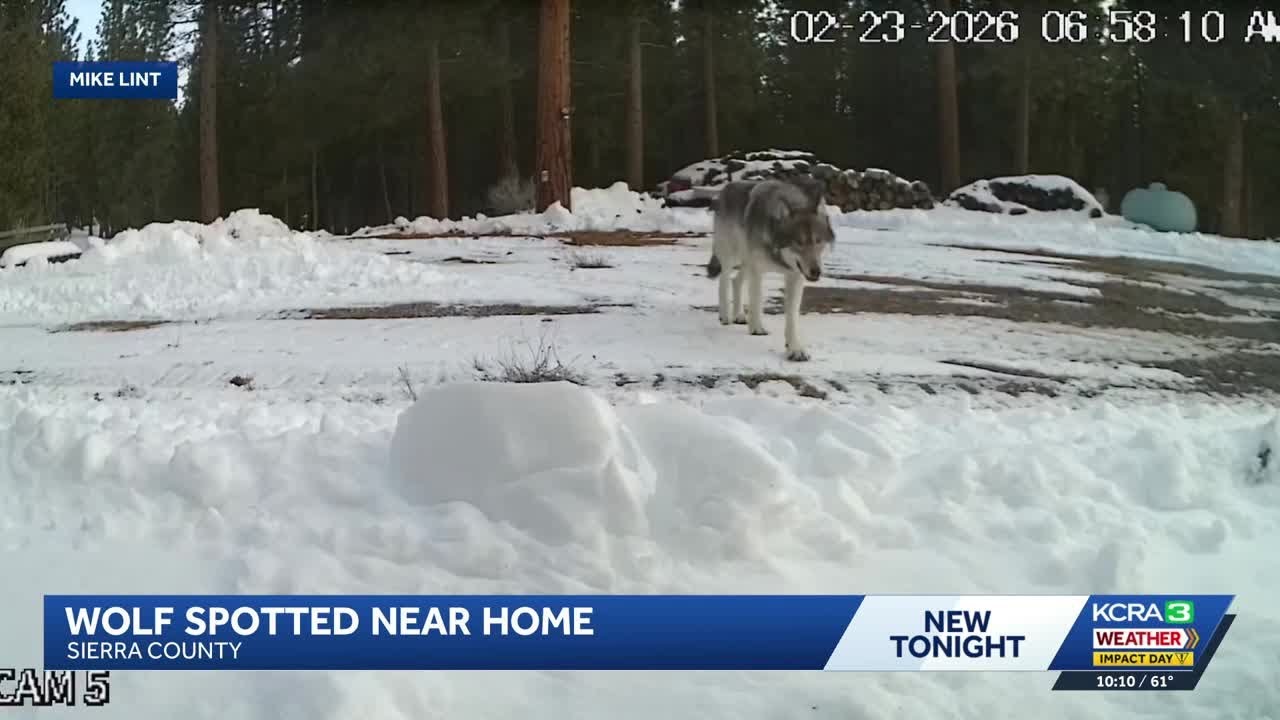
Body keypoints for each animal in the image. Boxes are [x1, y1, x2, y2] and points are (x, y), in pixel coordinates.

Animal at [705, 179, 835, 361]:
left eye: (818, 241)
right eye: (798, 242)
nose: (816, 271)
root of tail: (726, 187)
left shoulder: (795, 277)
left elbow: (792, 316)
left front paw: (795, 349)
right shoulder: (757, 271)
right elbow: (757, 301)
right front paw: (757, 328)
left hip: (746, 262)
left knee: (736, 281)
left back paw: (739, 316)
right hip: (731, 256)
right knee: (724, 280)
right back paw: (725, 316)